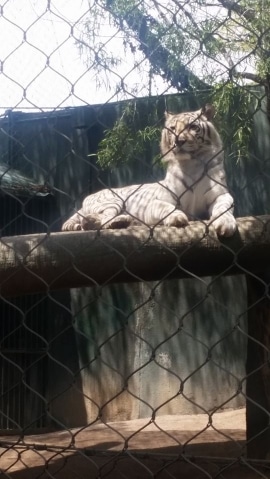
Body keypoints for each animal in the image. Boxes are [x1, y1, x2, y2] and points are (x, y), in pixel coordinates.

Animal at [61, 104, 236, 236]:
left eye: (192, 127)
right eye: (172, 129)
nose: (179, 141)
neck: (191, 163)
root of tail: (86, 199)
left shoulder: (221, 195)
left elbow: (223, 208)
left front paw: (226, 223)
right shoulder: (156, 202)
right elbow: (166, 207)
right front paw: (177, 217)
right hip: (114, 201)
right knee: (103, 219)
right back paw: (116, 221)